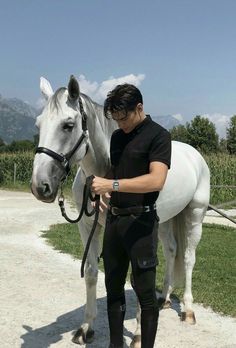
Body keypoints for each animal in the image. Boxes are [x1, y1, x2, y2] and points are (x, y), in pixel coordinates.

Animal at [31, 75, 210, 346]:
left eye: (68, 125)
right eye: (39, 125)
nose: (40, 186)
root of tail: (195, 155)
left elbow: (138, 279)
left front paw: (138, 335)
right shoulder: (87, 226)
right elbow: (92, 272)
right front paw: (86, 328)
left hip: (194, 214)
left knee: (188, 258)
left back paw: (188, 310)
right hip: (166, 221)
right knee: (171, 251)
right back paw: (165, 298)